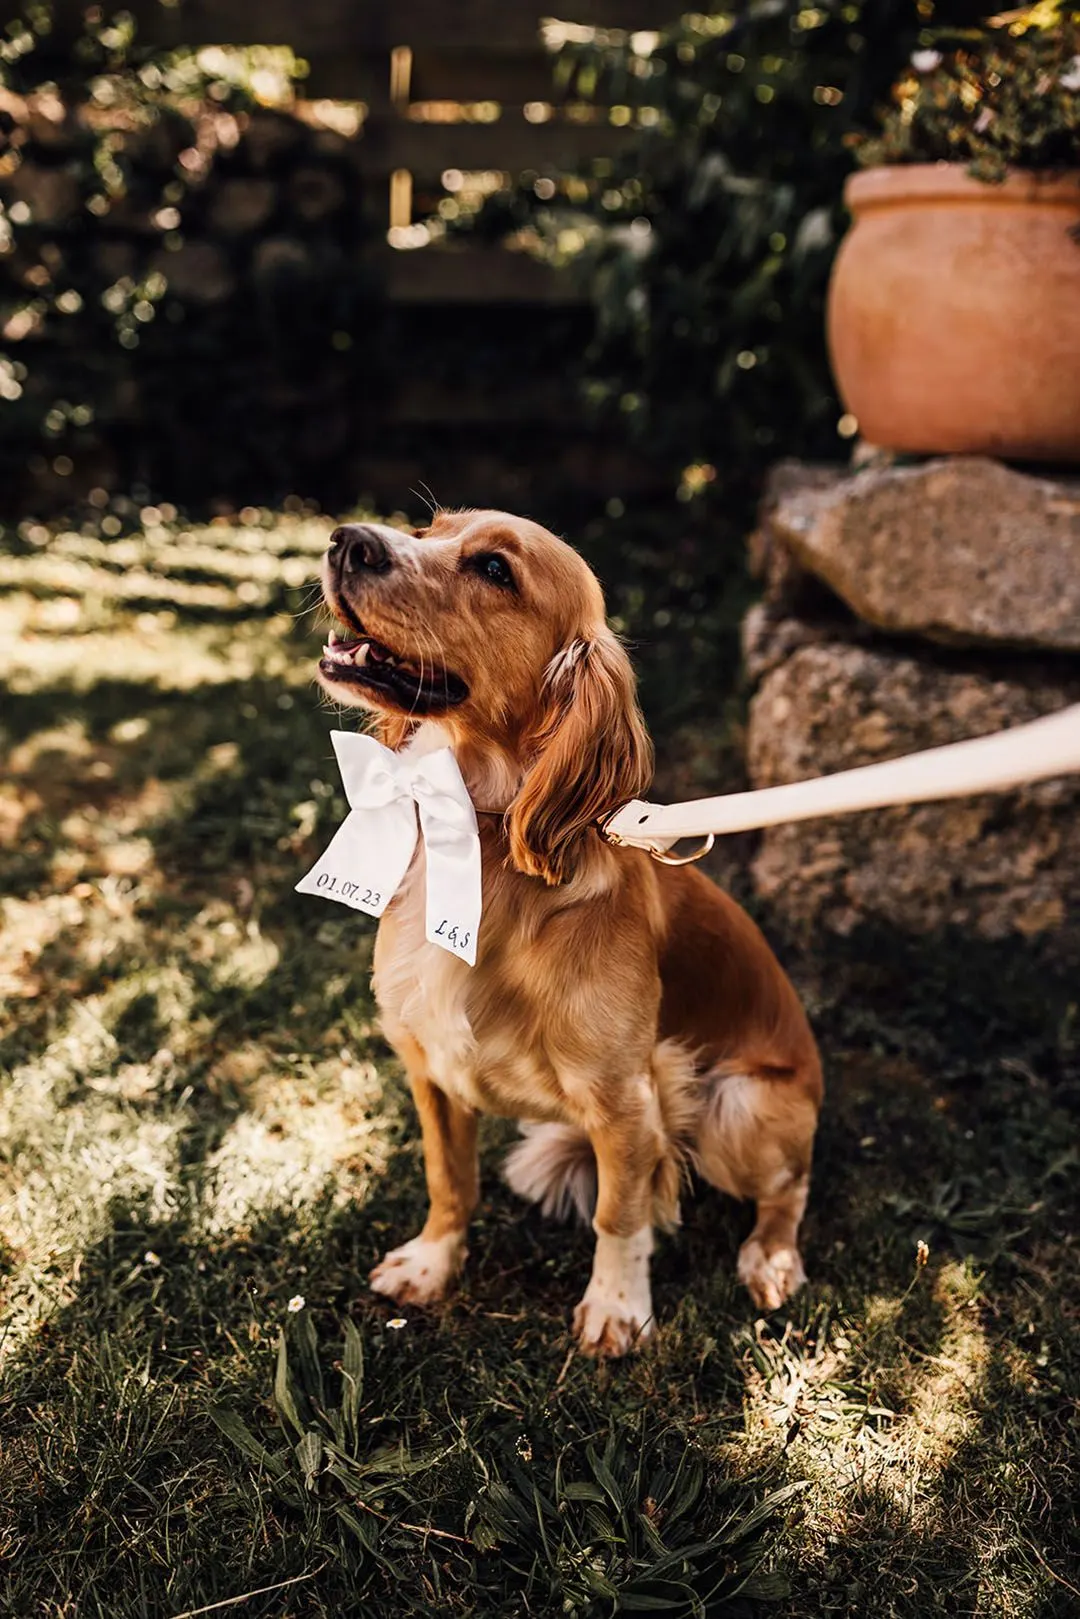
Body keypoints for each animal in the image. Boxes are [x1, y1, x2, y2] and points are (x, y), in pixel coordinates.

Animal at [317, 505, 822, 1353]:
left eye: (494, 569)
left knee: (792, 1184)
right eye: (430, 525)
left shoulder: (628, 1099)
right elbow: (449, 1179)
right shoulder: (428, 1064)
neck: (486, 844)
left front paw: (616, 1308)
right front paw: (431, 1261)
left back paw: (772, 1257)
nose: (347, 539)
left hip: (737, 1108)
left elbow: (620, 1213)